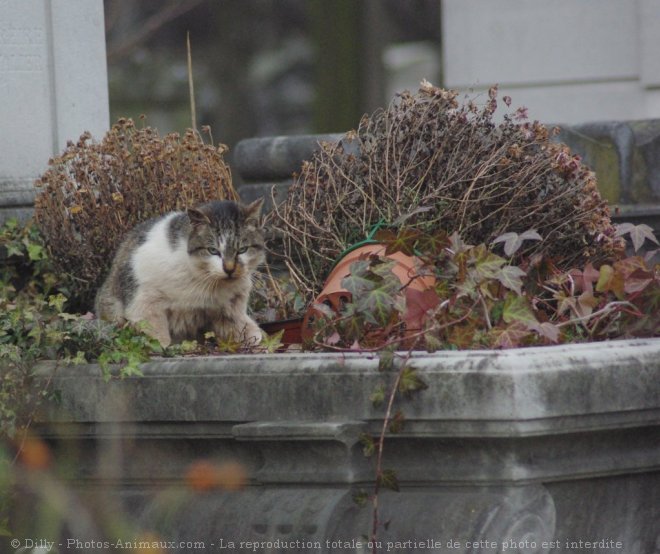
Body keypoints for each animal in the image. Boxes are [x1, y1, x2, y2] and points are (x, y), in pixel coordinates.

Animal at [95, 197, 266, 344]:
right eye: (213, 250)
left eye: (242, 250)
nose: (229, 268)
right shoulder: (144, 302)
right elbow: (156, 336)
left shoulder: (230, 308)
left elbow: (244, 329)